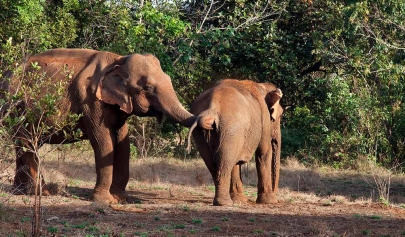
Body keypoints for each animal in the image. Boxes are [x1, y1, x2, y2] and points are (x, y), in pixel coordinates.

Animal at [2, 47, 196, 204]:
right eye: (147, 87)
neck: (118, 60)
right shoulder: (91, 101)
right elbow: (103, 142)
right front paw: (104, 201)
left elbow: (123, 143)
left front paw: (121, 199)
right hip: (17, 110)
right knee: (26, 143)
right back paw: (41, 192)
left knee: (21, 146)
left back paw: (20, 192)